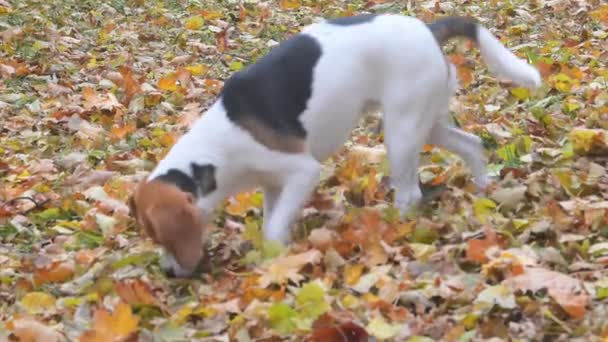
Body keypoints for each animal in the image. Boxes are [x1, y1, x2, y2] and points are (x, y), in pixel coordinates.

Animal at [128, 14, 540, 278]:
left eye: (161, 237)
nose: (168, 273)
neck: (215, 151)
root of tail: (425, 27)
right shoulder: (274, 186)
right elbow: (274, 220)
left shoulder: (302, 171)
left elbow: (272, 230)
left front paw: (273, 263)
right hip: (426, 123)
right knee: (471, 145)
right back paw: (484, 191)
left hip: (401, 132)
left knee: (410, 193)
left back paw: (393, 229)